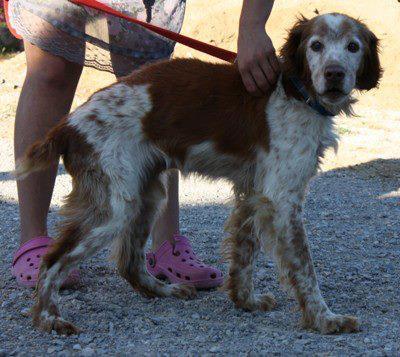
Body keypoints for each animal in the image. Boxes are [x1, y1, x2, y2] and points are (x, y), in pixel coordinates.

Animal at [14, 11, 382, 334]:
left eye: (353, 46)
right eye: (315, 45)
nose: (334, 74)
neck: (296, 92)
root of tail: (68, 125)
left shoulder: (254, 193)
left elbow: (244, 254)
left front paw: (245, 301)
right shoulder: (282, 199)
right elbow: (305, 269)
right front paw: (325, 319)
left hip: (146, 194)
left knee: (129, 262)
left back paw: (166, 290)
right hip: (114, 207)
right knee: (52, 260)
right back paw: (49, 318)